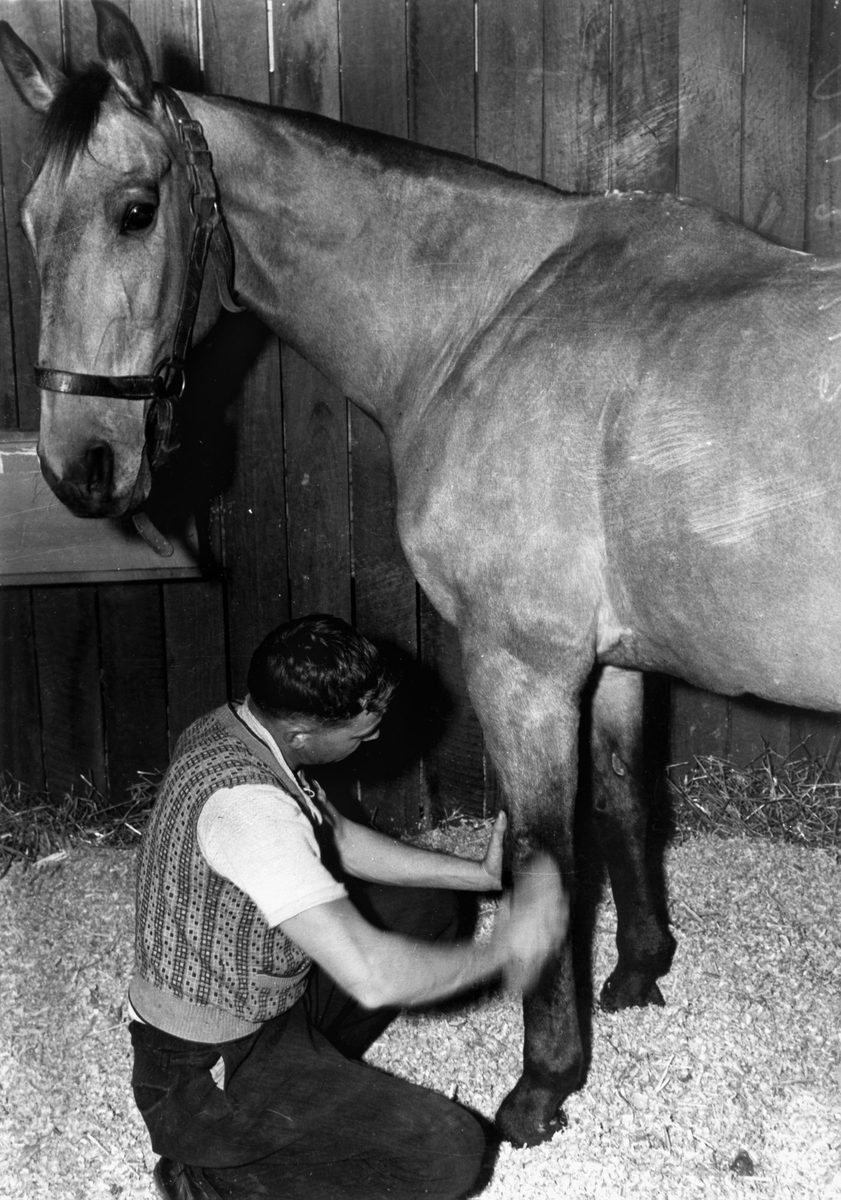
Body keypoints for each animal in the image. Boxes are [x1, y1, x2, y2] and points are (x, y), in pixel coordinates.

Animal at [2, 0, 839, 1150]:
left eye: (135, 211)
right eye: (31, 220)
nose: (79, 464)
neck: (490, 315)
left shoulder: (523, 667)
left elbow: (544, 856)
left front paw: (541, 1086)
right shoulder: (612, 662)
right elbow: (626, 805)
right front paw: (638, 976)